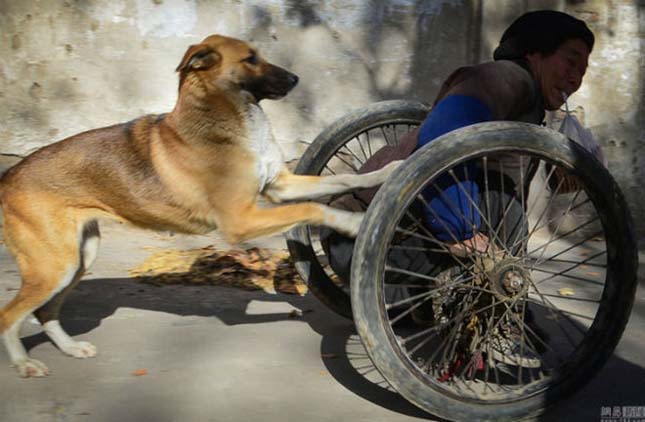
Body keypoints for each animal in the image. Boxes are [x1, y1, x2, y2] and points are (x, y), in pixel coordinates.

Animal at [0, 36, 400, 378]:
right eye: (250, 59)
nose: (295, 78)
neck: (229, 119)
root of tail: (9, 177)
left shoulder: (278, 186)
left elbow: (342, 180)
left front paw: (387, 171)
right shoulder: (241, 220)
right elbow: (312, 210)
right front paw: (352, 221)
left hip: (80, 258)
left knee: (45, 311)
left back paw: (71, 349)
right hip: (55, 266)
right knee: (9, 316)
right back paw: (23, 364)